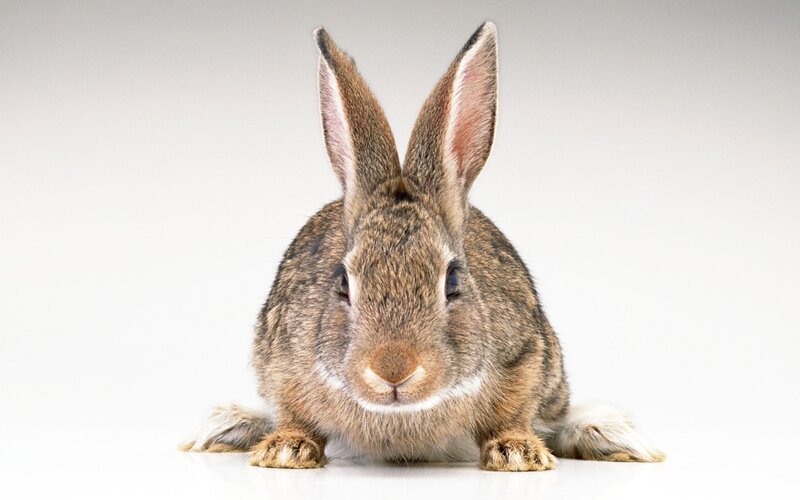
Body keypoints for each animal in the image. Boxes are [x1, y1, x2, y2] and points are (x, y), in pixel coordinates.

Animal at [181, 21, 664, 471]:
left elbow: (513, 414)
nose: (393, 370)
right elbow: (293, 413)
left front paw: (517, 454)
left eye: (452, 281)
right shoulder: (282, 362)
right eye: (343, 284)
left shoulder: (526, 358)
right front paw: (286, 450)